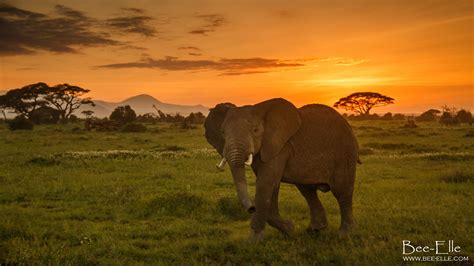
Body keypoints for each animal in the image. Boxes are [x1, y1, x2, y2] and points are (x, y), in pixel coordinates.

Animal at [205, 98, 360, 241]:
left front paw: (253, 242)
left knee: (342, 192)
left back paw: (345, 235)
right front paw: (290, 230)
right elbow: (271, 185)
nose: (251, 208)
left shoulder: (280, 147)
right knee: (308, 191)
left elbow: (265, 184)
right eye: (222, 132)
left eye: (256, 130)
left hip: (345, 153)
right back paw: (314, 230)